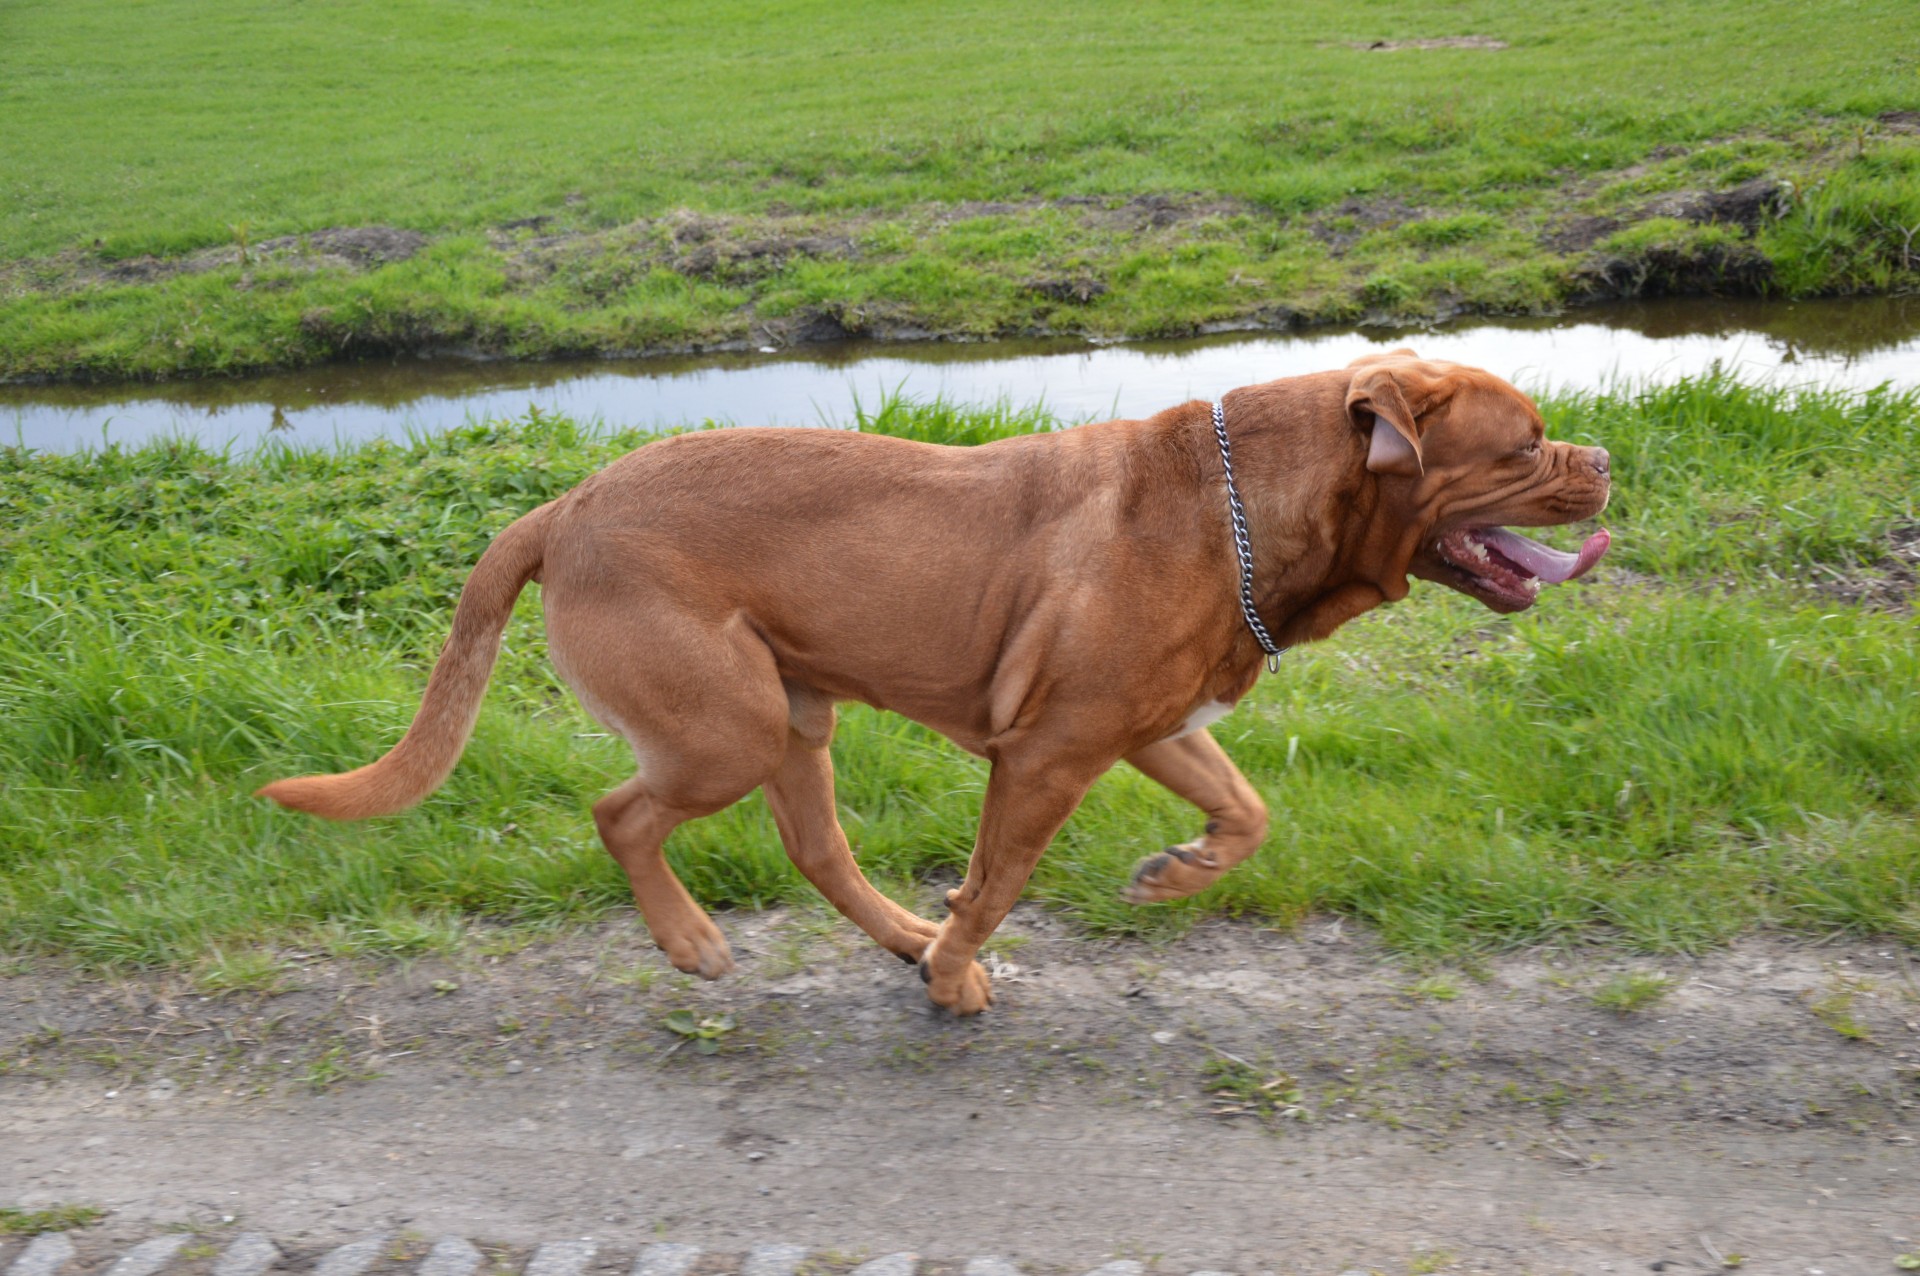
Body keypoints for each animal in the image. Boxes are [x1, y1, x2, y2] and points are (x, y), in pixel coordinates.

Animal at [255, 349, 1605, 1005]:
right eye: (1526, 444)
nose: (1600, 460)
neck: (1244, 505)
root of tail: (561, 508)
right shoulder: (1050, 755)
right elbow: (999, 882)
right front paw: (959, 980)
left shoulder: (1150, 726)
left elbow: (1247, 809)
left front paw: (1172, 874)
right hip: (724, 727)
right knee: (621, 813)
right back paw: (697, 945)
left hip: (791, 717)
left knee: (816, 849)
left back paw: (901, 935)